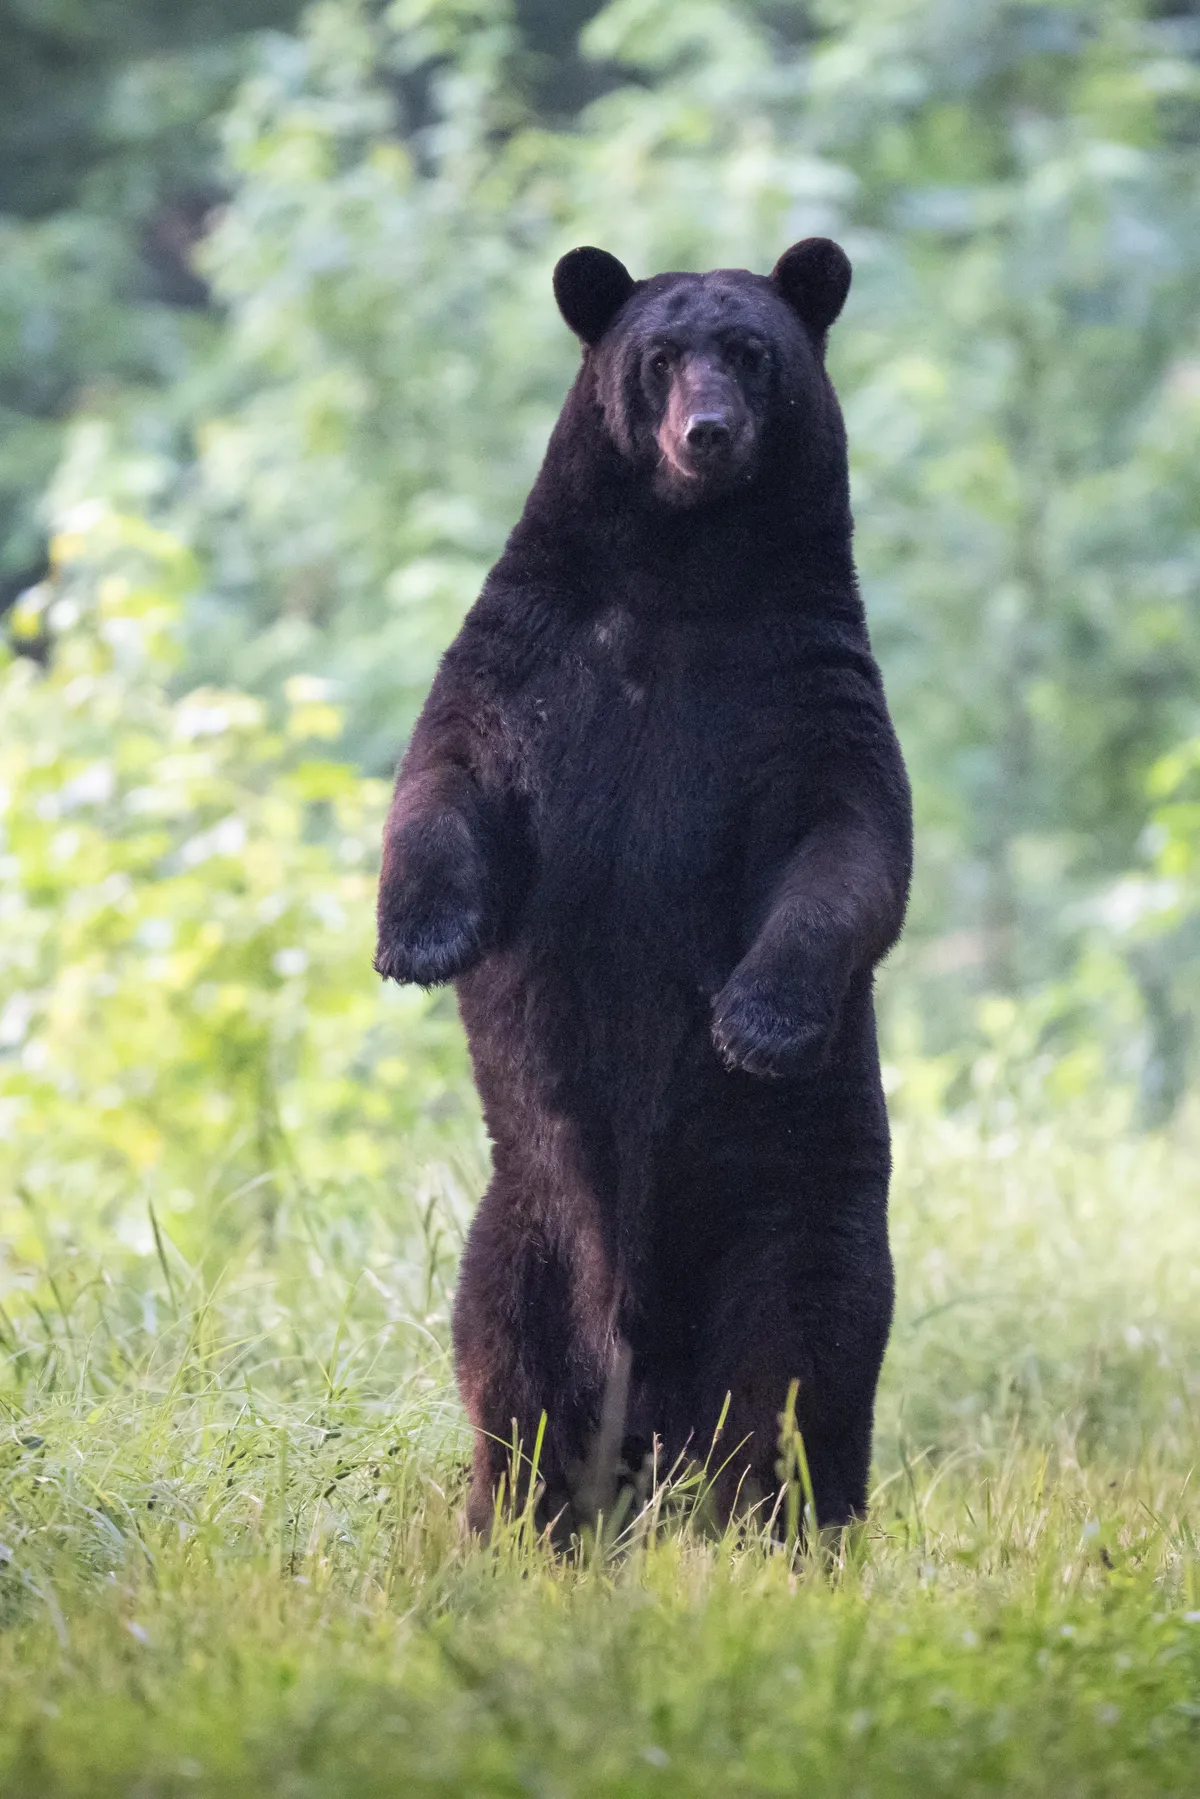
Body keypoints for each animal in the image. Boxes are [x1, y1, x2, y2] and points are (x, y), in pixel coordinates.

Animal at [374, 238, 912, 1538]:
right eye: (661, 356)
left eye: (754, 353)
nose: (706, 433)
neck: (683, 573)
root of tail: (655, 1420)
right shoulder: (534, 652)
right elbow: (445, 770)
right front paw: (420, 936)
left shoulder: (801, 682)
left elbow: (851, 843)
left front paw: (758, 1020)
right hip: (520, 1228)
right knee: (504, 1371)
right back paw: (516, 1521)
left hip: (802, 1217)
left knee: (802, 1383)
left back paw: (785, 1530)